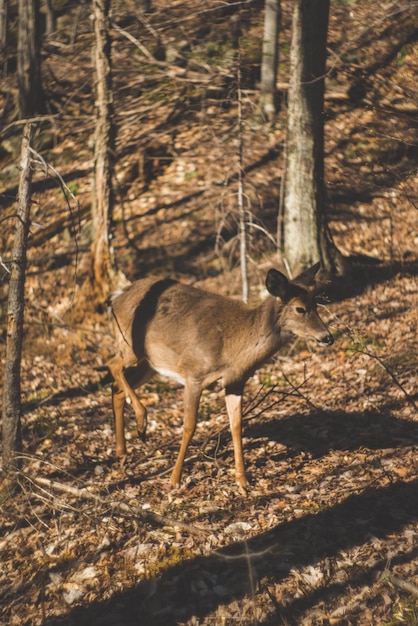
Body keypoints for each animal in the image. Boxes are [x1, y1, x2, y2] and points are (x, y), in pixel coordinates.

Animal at [108, 260, 334, 490]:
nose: (327, 337)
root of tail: (117, 296)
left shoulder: (235, 383)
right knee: (113, 364)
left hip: (151, 363)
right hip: (130, 346)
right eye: (300, 309)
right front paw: (174, 479)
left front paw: (242, 480)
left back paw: (122, 451)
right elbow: (189, 426)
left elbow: (236, 425)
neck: (233, 350)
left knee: (116, 386)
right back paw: (141, 422)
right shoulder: (194, 374)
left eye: (316, 305)